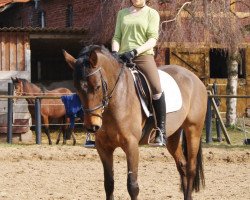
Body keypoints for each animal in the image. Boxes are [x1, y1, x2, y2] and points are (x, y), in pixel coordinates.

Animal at [63, 45, 207, 200]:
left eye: (97, 86)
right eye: (77, 88)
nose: (92, 126)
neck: (117, 100)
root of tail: (194, 77)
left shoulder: (131, 146)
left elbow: (132, 186)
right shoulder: (103, 148)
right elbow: (109, 184)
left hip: (193, 129)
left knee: (191, 168)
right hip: (173, 135)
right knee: (182, 166)